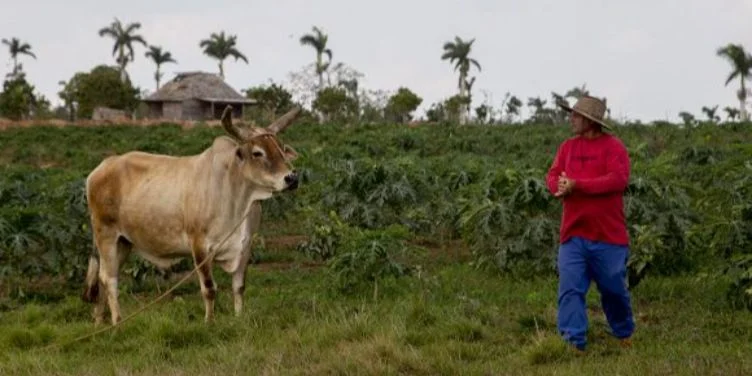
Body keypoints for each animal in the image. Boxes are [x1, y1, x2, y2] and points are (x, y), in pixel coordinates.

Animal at [83, 105, 302, 324]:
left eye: (281, 148)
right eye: (258, 152)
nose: (292, 178)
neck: (237, 197)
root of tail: (101, 167)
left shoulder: (245, 246)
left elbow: (239, 287)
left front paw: (239, 318)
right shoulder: (200, 246)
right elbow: (209, 289)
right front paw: (209, 322)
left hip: (123, 242)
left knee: (104, 277)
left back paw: (99, 321)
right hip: (106, 235)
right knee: (109, 279)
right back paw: (117, 321)